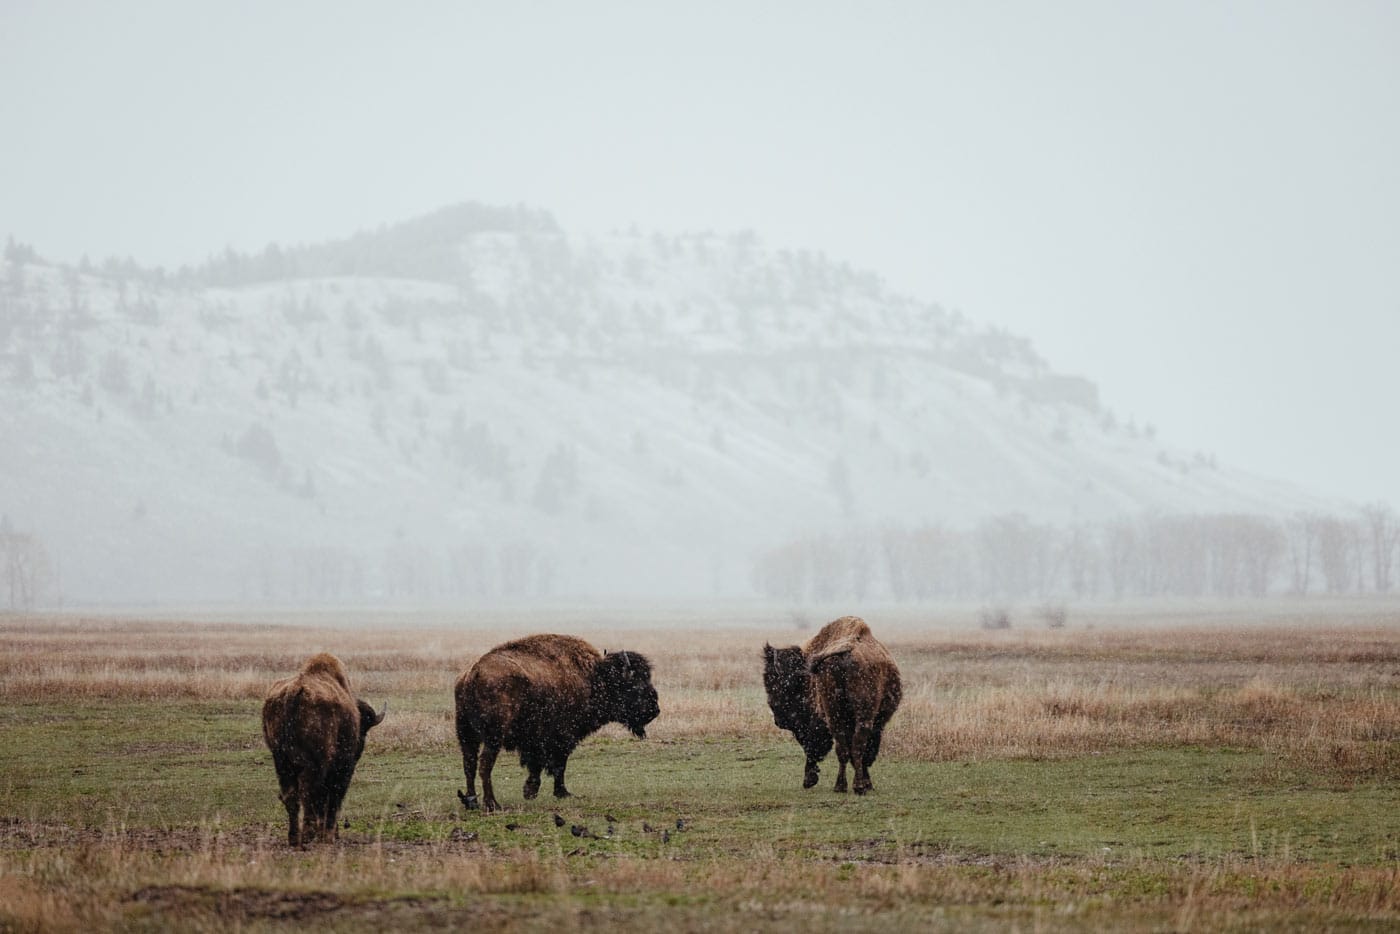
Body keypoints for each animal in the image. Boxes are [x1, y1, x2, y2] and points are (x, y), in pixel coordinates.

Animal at [260, 658, 383, 845]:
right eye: (364, 729)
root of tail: (294, 692)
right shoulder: (342, 769)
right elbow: (333, 798)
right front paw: (329, 834)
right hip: (316, 764)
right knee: (310, 792)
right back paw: (309, 836)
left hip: (281, 761)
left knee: (292, 796)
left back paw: (294, 838)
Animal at [453, 632, 660, 812]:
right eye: (634, 684)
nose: (655, 710)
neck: (595, 677)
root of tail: (472, 674)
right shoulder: (563, 737)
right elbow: (559, 764)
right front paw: (560, 793)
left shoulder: (536, 742)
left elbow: (538, 765)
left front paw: (531, 791)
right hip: (493, 738)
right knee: (484, 765)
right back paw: (492, 804)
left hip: (467, 735)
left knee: (469, 765)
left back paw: (472, 802)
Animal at [761, 613, 901, 795]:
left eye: (775, 685)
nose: (778, 720)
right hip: (859, 716)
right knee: (855, 746)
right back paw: (855, 786)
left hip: (837, 715)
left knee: (844, 748)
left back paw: (842, 786)